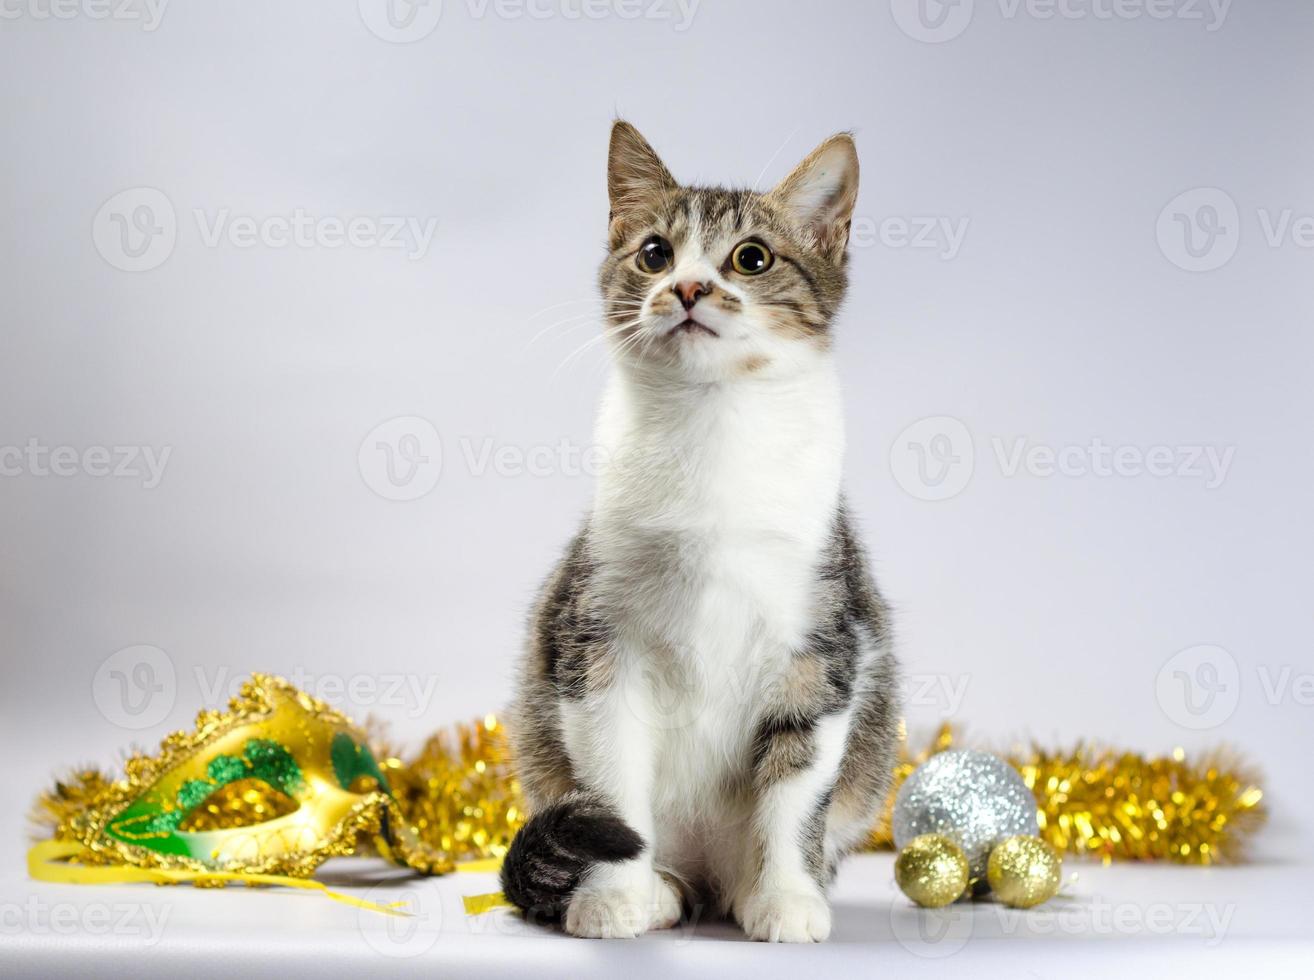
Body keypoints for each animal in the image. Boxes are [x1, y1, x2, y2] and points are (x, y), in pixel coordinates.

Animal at [496, 120, 898, 940]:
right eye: (655, 253)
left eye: (752, 258)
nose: (686, 288)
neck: (712, 434)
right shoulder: (595, 634)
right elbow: (610, 782)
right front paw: (612, 894)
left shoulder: (825, 641)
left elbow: (797, 781)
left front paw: (786, 895)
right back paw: (659, 889)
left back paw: (748, 888)